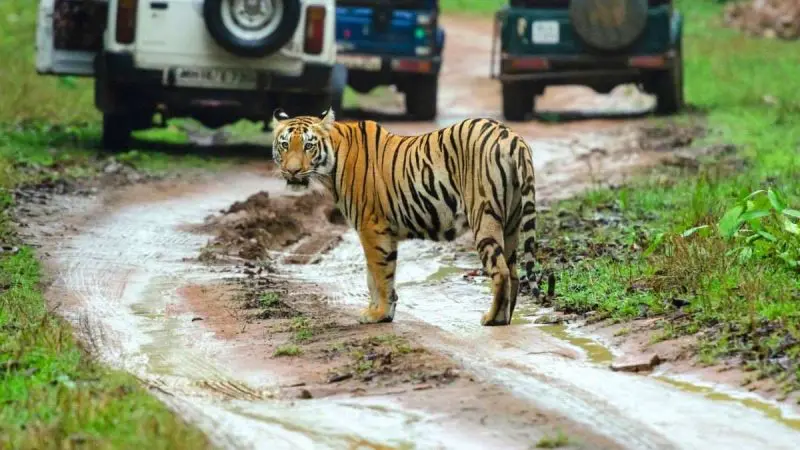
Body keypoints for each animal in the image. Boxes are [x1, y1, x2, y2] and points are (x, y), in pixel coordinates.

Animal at [270, 107, 548, 326]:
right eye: (285, 145)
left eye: (309, 145)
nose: (292, 171)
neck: (331, 164)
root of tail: (511, 136)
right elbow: (377, 276)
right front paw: (381, 311)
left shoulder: (372, 227)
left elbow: (379, 274)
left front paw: (378, 314)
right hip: (511, 221)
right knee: (513, 271)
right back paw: (506, 317)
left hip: (484, 216)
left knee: (500, 270)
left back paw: (492, 319)